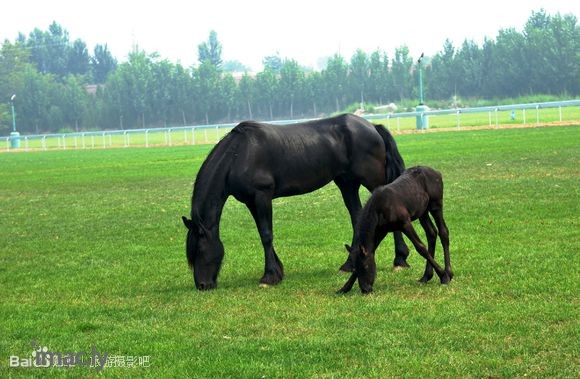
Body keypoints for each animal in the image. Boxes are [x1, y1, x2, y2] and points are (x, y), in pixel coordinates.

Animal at [181, 113, 408, 290]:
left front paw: (269, 277)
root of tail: (373, 127)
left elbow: (266, 235)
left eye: (199, 250)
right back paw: (349, 265)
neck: (239, 154)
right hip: (347, 183)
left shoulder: (262, 196)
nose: (202, 285)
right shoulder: (251, 202)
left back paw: (400, 259)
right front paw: (277, 271)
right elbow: (263, 233)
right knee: (356, 217)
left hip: (372, 181)